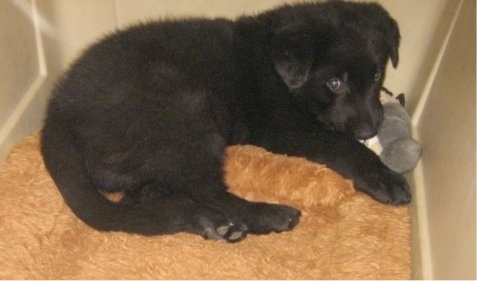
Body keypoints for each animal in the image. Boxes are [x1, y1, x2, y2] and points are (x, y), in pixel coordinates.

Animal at [41, 0, 410, 242]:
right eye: (334, 83)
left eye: (376, 75)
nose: (370, 128)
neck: (279, 71)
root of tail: (57, 112)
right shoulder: (287, 130)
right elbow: (342, 145)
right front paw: (386, 177)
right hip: (186, 111)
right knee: (208, 191)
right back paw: (265, 215)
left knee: (149, 200)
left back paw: (207, 222)